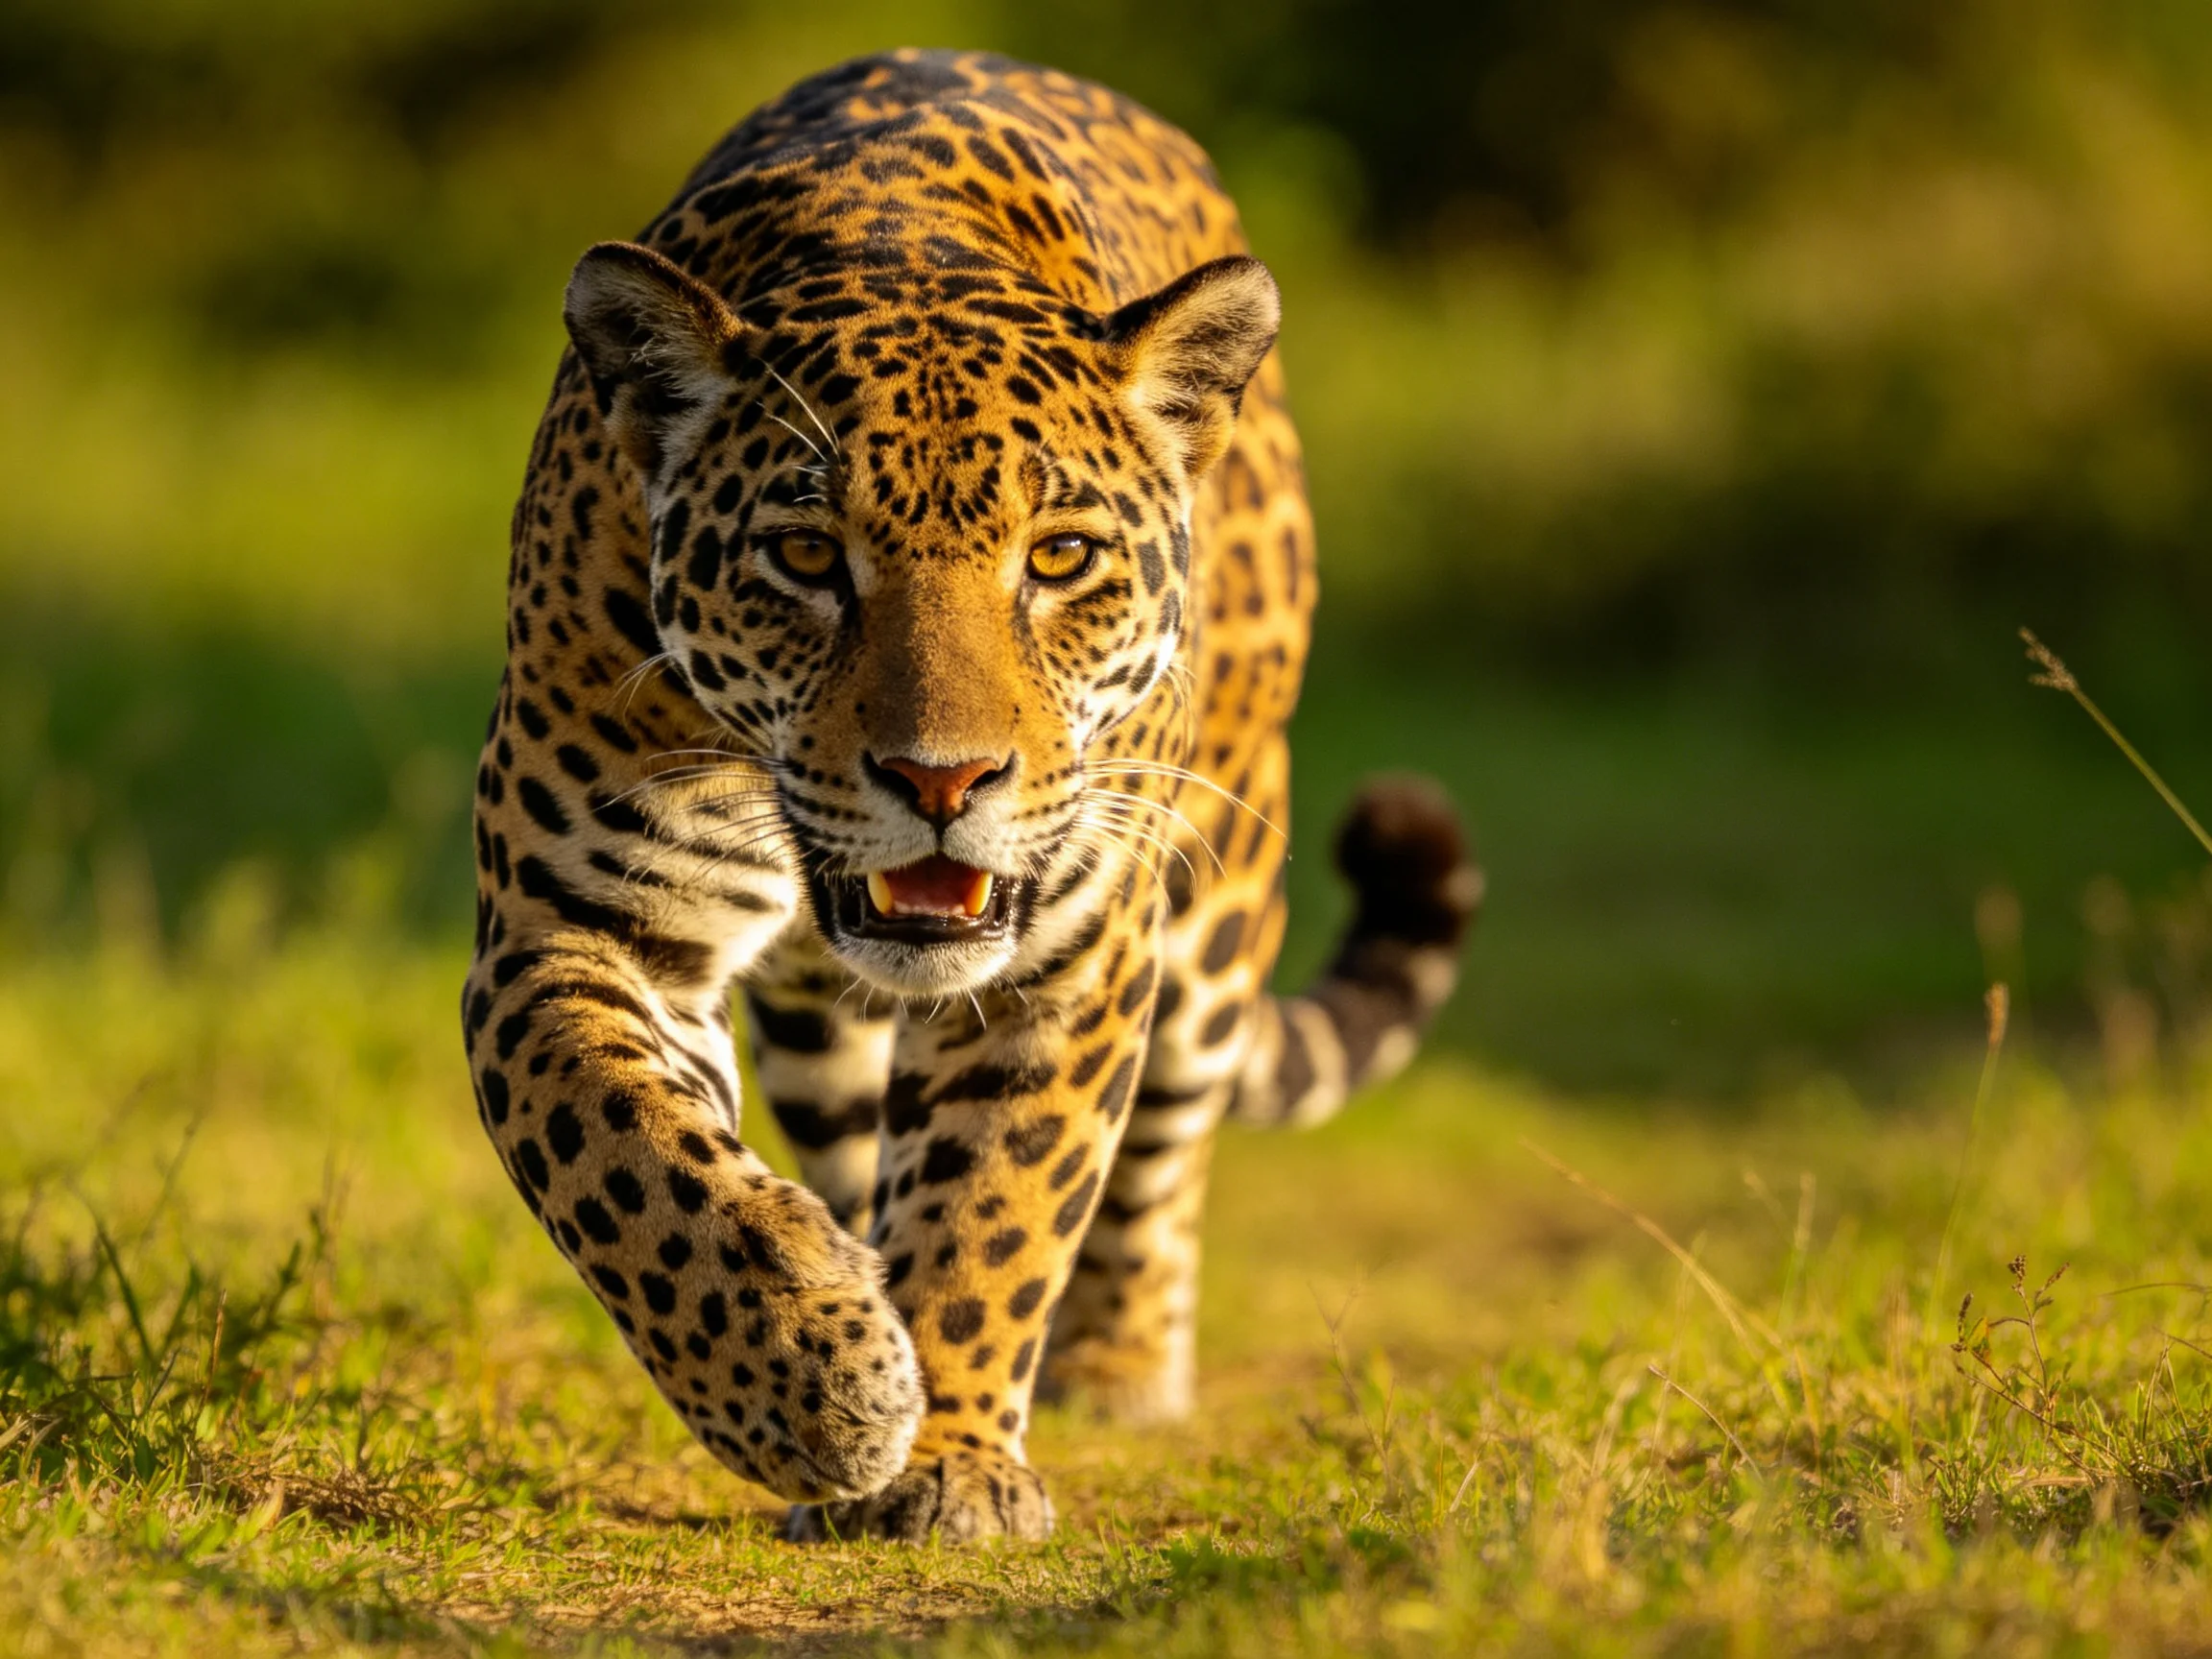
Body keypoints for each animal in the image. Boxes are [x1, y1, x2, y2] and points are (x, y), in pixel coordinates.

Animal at [461, 47, 1479, 1544]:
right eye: (806, 556)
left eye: (1057, 558)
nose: (941, 779)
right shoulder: (572, 922)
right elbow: (622, 1154)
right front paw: (810, 1375)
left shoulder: (1072, 946)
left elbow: (999, 1198)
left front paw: (944, 1456)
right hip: (818, 1021)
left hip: (1217, 891)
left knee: (1167, 1140)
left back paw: (1119, 1365)